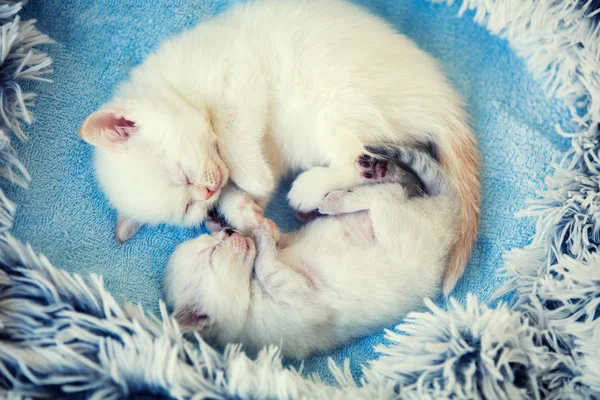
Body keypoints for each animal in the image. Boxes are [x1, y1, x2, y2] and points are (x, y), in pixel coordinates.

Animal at [79, 0, 480, 294]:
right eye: (188, 208)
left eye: (181, 175)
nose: (207, 190)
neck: (178, 85)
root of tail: (442, 103)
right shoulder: (262, 149)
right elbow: (246, 184)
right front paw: (247, 212)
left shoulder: (235, 70)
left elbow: (233, 130)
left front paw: (250, 177)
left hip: (340, 98)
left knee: (351, 157)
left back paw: (307, 189)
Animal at [162, 145, 458, 358]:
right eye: (211, 256)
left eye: (210, 243)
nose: (229, 235)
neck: (249, 292)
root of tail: (447, 216)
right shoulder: (294, 297)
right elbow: (268, 265)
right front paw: (260, 237)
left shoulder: (285, 255)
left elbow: (272, 241)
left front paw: (232, 224)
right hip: (395, 225)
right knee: (388, 194)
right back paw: (342, 197)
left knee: (405, 186)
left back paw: (374, 173)